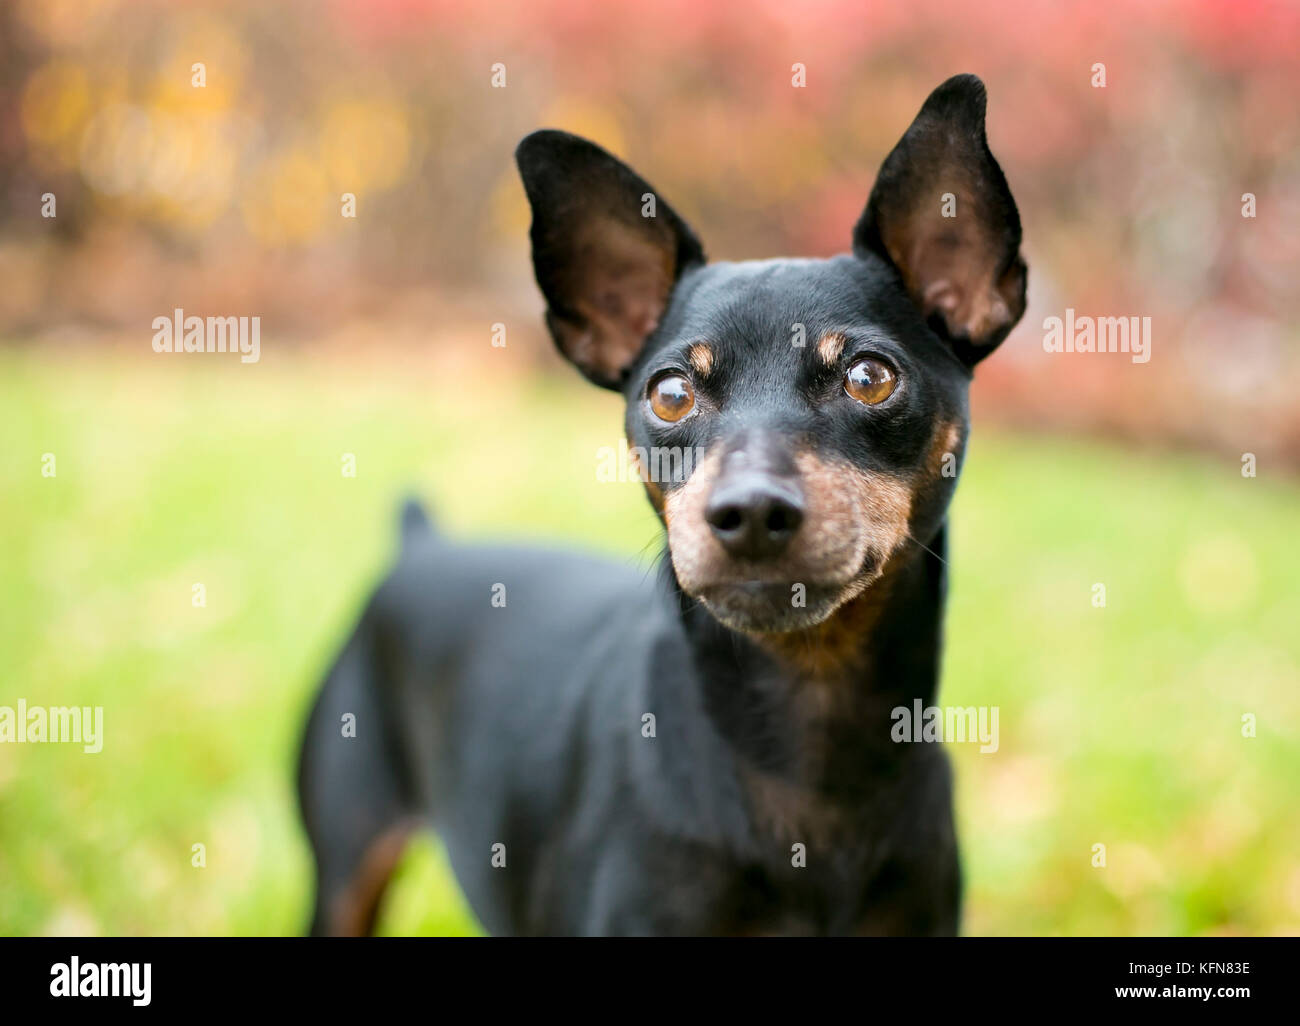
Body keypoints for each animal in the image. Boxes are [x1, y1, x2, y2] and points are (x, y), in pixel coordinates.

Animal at [297, 74, 1024, 936]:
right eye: (670, 394)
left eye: (871, 378)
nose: (749, 511)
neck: (809, 744)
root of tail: (421, 541)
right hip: (344, 872)